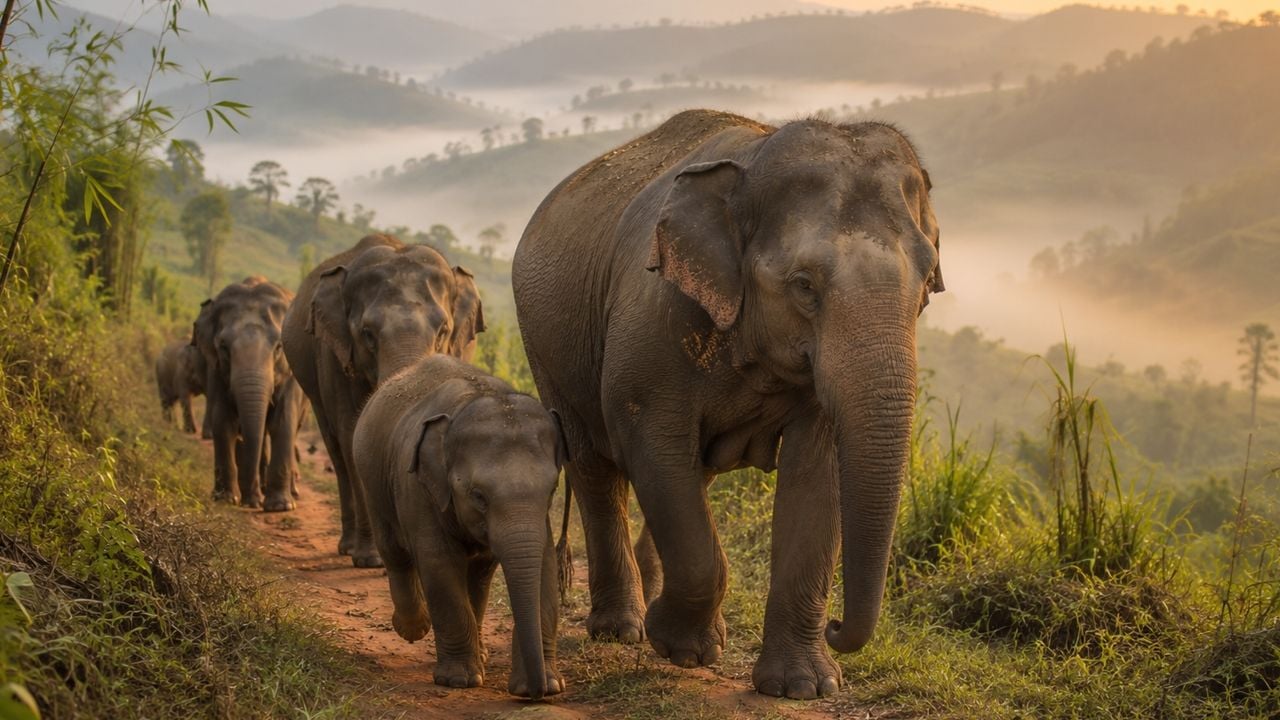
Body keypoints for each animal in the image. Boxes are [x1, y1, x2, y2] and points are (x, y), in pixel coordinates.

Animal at [193, 277, 307, 511]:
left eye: (279, 347)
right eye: (223, 347)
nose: (251, 502)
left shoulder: (291, 376)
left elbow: (283, 422)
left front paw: (280, 507)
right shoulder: (216, 369)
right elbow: (223, 421)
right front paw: (227, 499)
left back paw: (290, 492)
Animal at [282, 234, 485, 567]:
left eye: (443, 331)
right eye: (367, 333)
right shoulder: (334, 357)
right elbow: (352, 435)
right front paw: (371, 559)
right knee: (337, 451)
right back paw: (347, 547)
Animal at [352, 354, 566, 699]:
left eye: (552, 490)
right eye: (478, 495)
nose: (534, 692)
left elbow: (544, 564)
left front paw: (551, 685)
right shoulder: (419, 487)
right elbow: (438, 562)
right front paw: (459, 680)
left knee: (478, 576)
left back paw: (480, 652)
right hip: (373, 481)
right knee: (394, 552)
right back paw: (413, 628)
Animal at [512, 110, 944, 699]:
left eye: (926, 285)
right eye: (804, 285)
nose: (837, 627)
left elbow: (818, 472)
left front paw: (803, 687)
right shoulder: (652, 320)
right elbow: (651, 442)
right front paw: (680, 648)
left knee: (691, 474)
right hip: (546, 347)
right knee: (596, 469)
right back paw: (623, 630)